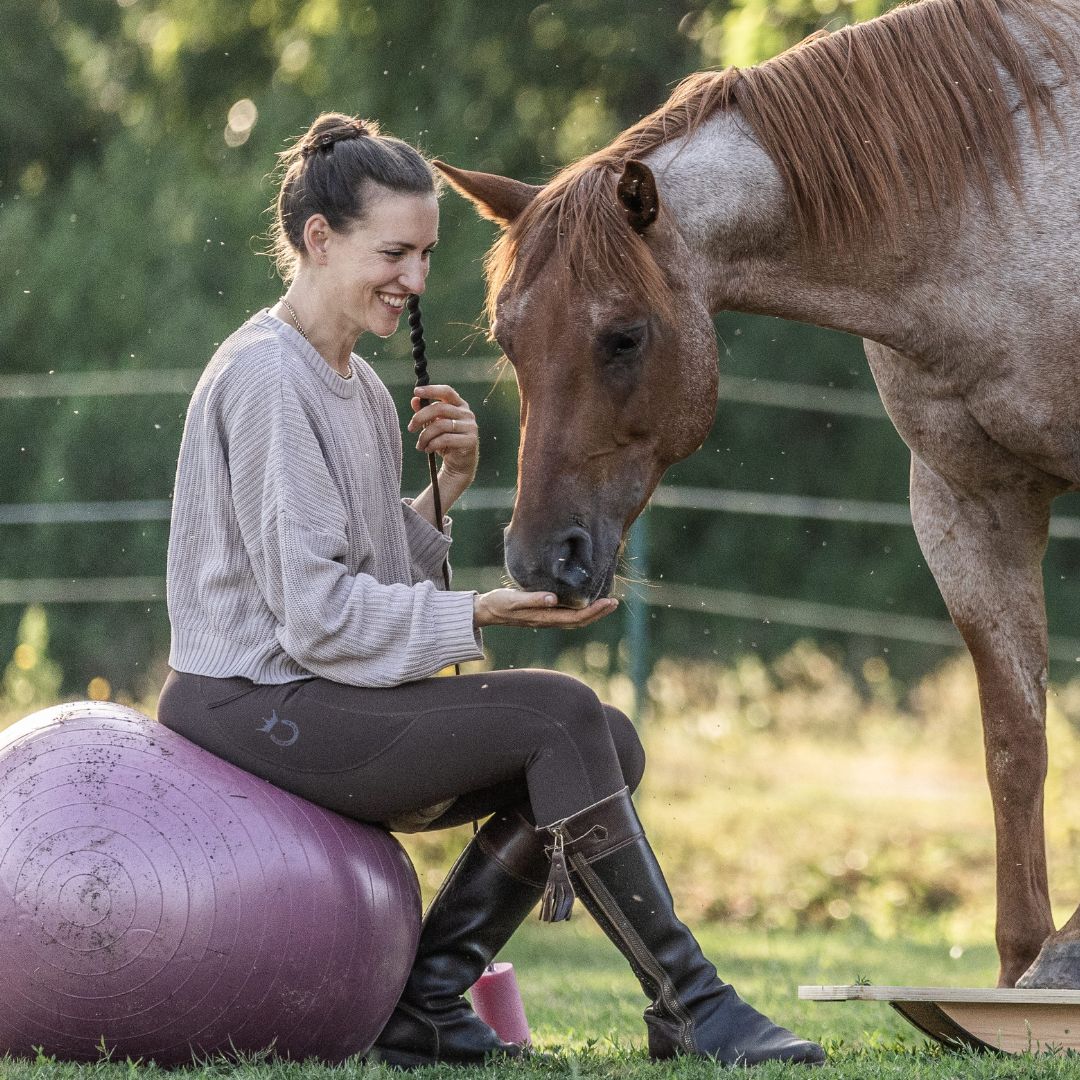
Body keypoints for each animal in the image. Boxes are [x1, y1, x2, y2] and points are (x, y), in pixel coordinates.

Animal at [434, 0, 1080, 989]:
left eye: (624, 336)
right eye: (509, 340)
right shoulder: (968, 501)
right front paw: (1024, 970)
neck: (1011, 211)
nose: (543, 559)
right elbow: (1016, 741)